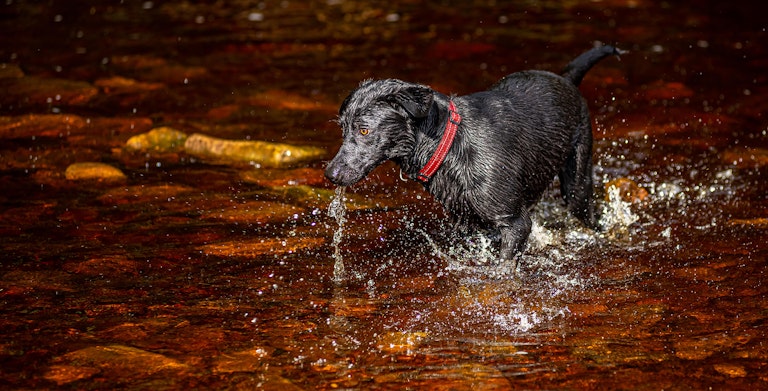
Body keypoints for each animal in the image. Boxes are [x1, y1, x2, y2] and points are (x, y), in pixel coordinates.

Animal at [326, 45, 624, 266]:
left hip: (577, 183)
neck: (446, 146)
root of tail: (566, 79)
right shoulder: (466, 221)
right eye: (342, 128)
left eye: (364, 130)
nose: (330, 174)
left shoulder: (515, 222)